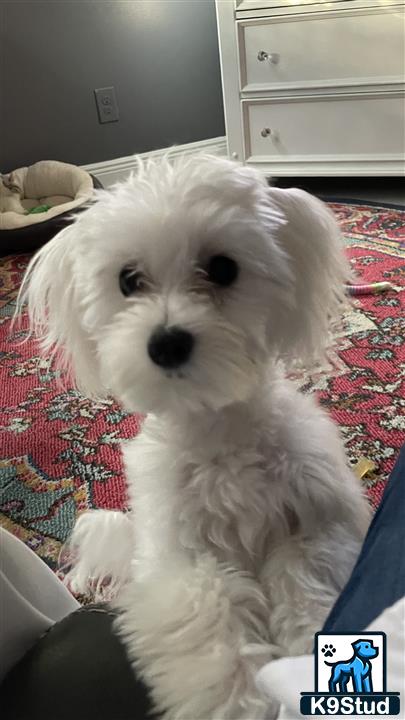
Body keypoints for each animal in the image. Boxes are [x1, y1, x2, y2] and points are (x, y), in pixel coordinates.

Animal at [21, 158, 370, 720]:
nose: (167, 342)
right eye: (128, 279)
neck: (219, 432)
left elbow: (304, 585)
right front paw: (247, 701)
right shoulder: (181, 564)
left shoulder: (317, 527)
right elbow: (214, 626)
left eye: (223, 268)